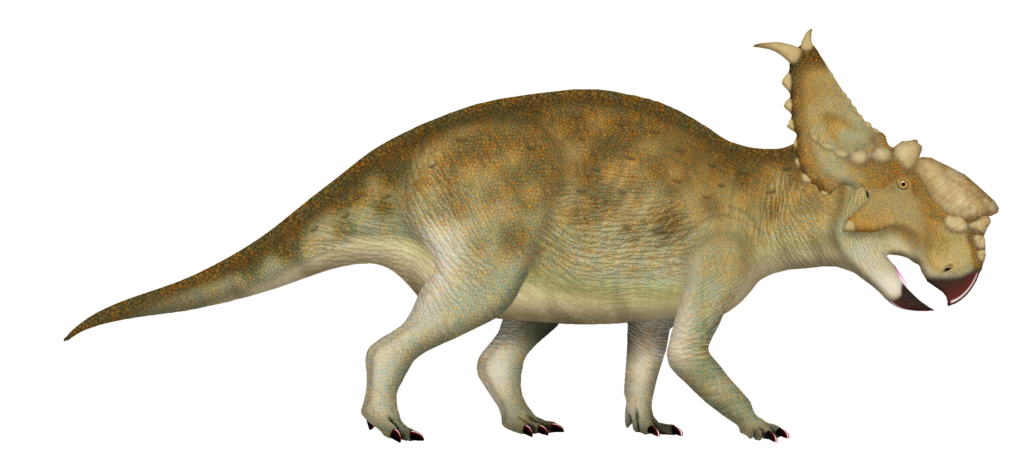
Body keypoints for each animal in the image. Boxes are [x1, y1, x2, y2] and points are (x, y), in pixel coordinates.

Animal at [64, 28, 998, 442]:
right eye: (895, 187)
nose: (969, 261)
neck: (775, 189)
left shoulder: (656, 295)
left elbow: (648, 355)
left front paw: (645, 421)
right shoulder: (714, 263)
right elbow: (695, 357)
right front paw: (761, 423)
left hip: (531, 278)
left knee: (496, 351)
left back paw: (524, 420)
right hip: (484, 243)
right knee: (394, 342)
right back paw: (389, 422)